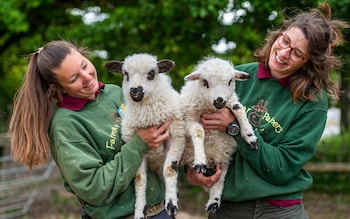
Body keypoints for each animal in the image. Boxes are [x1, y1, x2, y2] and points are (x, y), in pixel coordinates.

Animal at [104, 53, 185, 219]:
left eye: (151, 73)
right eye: (126, 74)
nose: (135, 90)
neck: (149, 116)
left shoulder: (176, 137)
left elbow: (169, 169)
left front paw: (171, 204)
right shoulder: (138, 152)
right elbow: (140, 180)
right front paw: (139, 211)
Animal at [180, 56, 260, 214]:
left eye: (230, 81)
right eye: (205, 82)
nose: (219, 100)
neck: (211, 108)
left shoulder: (231, 101)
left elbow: (238, 109)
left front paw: (250, 136)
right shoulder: (188, 120)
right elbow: (198, 130)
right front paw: (200, 160)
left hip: (223, 160)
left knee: (219, 182)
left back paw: (213, 202)